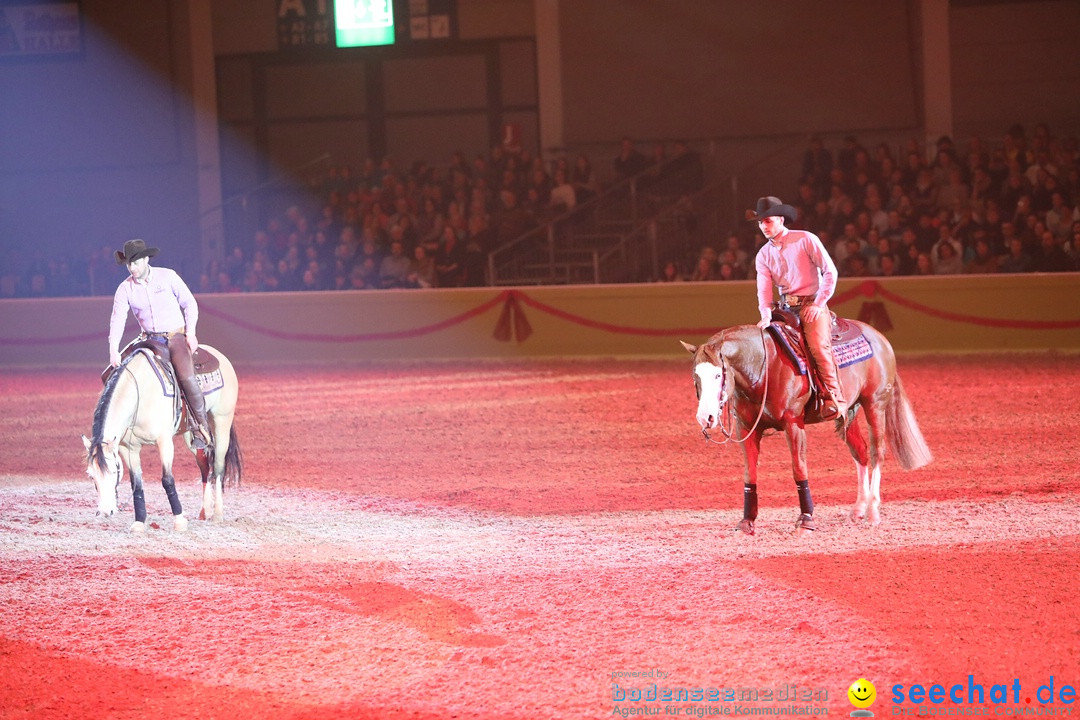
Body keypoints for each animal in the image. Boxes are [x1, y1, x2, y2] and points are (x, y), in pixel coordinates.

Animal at [84, 343, 245, 528]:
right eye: (91, 475)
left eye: (113, 471)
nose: (104, 512)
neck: (140, 393)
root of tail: (219, 356)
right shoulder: (128, 448)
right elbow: (136, 483)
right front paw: (139, 523)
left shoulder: (165, 442)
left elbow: (167, 479)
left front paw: (180, 521)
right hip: (191, 436)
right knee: (204, 466)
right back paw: (205, 512)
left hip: (222, 421)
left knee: (218, 467)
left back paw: (218, 514)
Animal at [682, 321, 928, 535]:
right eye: (695, 375)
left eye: (718, 374)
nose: (705, 418)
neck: (764, 366)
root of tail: (879, 337)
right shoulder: (747, 427)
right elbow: (749, 472)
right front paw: (746, 522)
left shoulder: (793, 423)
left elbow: (799, 468)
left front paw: (806, 520)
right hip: (849, 411)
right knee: (860, 451)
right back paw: (859, 509)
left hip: (875, 404)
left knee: (878, 451)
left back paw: (873, 511)